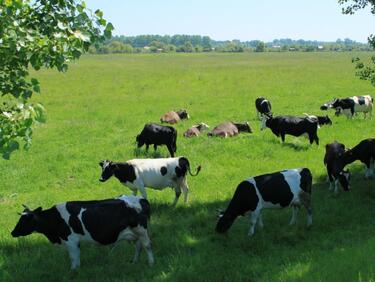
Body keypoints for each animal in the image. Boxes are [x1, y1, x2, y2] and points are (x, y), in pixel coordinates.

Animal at [11, 195, 154, 270]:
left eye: (24, 221)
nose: (12, 233)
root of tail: (141, 199)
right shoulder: (75, 242)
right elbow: (77, 258)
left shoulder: (71, 241)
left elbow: (73, 258)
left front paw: (73, 271)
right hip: (134, 233)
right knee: (138, 246)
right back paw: (134, 262)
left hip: (141, 230)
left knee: (147, 245)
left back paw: (151, 263)